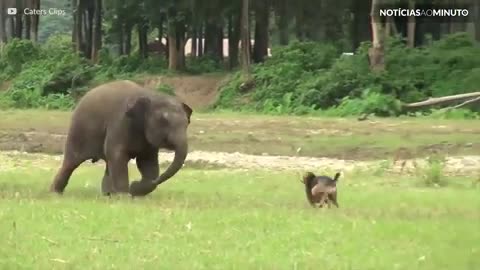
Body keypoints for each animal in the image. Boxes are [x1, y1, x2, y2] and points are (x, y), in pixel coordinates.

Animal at [48, 79, 191, 196]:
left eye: (187, 124)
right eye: (164, 122)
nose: (134, 184)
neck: (150, 95)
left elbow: (147, 162)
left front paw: (134, 190)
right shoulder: (120, 122)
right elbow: (117, 154)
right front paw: (125, 196)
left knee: (107, 162)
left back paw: (108, 194)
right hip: (79, 130)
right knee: (71, 162)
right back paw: (55, 193)